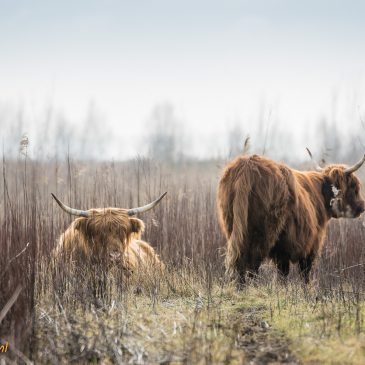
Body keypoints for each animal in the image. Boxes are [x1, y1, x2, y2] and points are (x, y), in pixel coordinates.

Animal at [216, 152, 364, 282]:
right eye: (354, 186)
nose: (362, 206)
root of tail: (247, 165)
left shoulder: (283, 249)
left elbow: (283, 274)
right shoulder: (310, 244)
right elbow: (303, 273)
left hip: (234, 227)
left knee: (242, 263)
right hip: (262, 234)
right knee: (252, 264)